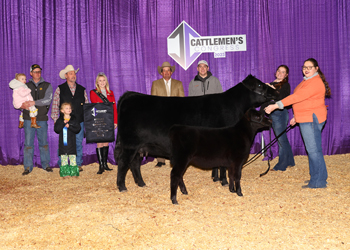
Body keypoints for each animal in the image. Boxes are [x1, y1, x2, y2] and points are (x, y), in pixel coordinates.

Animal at [115, 74, 278, 191]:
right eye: (259, 84)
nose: (275, 91)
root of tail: (130, 95)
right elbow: (223, 166)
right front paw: (224, 181)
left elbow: (218, 164)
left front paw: (215, 178)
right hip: (130, 144)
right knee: (123, 162)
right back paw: (122, 187)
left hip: (139, 147)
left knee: (134, 164)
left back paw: (141, 183)